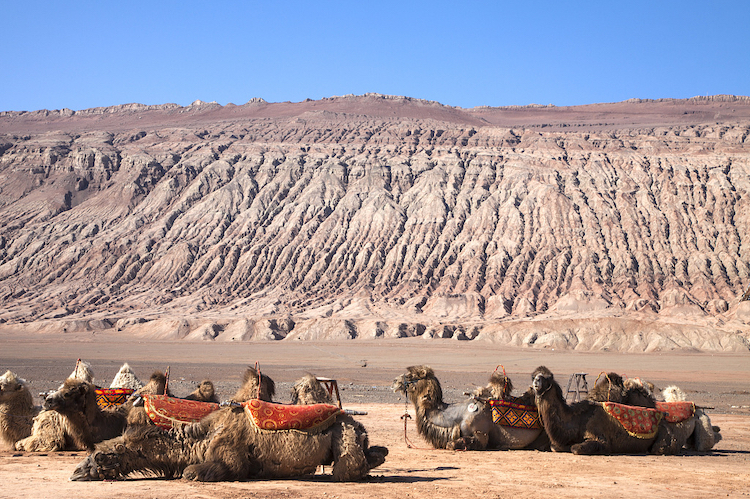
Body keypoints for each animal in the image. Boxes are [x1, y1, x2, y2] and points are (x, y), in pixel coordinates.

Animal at [532, 366, 660, 456]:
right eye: (533, 376)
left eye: (548, 377)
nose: (536, 381)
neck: (579, 419)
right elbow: (554, 447)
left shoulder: (600, 438)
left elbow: (575, 448)